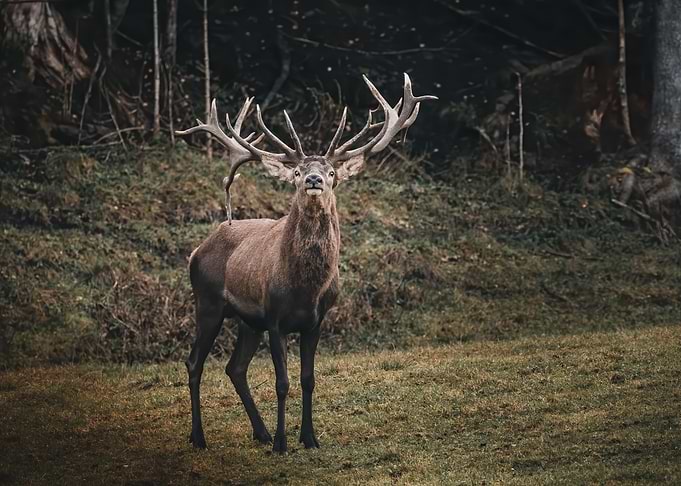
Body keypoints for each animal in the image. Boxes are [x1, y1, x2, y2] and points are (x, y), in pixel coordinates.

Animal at [176, 73, 436, 453]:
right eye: (298, 171)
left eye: (331, 171)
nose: (314, 179)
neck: (304, 289)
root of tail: (197, 250)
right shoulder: (274, 318)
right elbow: (282, 382)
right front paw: (283, 444)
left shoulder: (316, 321)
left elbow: (308, 379)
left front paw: (309, 438)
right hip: (208, 301)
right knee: (195, 362)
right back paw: (199, 437)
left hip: (247, 320)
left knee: (234, 368)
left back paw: (261, 432)